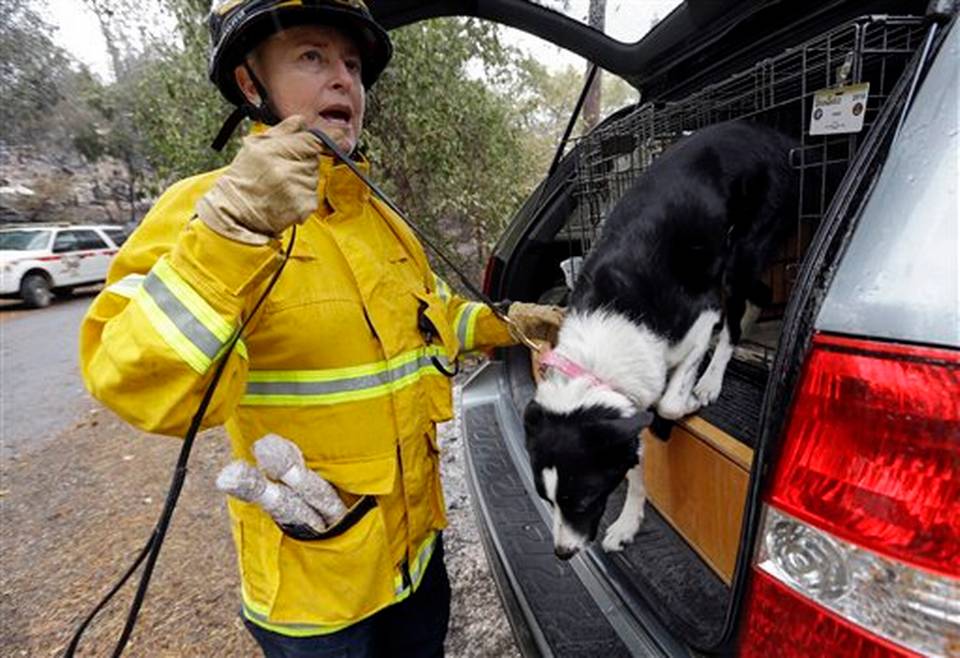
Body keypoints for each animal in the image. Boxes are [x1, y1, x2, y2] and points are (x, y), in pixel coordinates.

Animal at [524, 120, 796, 556]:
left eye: (581, 500)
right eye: (547, 499)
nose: (563, 554)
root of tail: (772, 133)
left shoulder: (702, 317)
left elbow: (667, 403)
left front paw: (686, 403)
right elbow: (634, 463)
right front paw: (627, 521)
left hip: (743, 251)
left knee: (736, 319)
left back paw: (710, 380)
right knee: (760, 297)